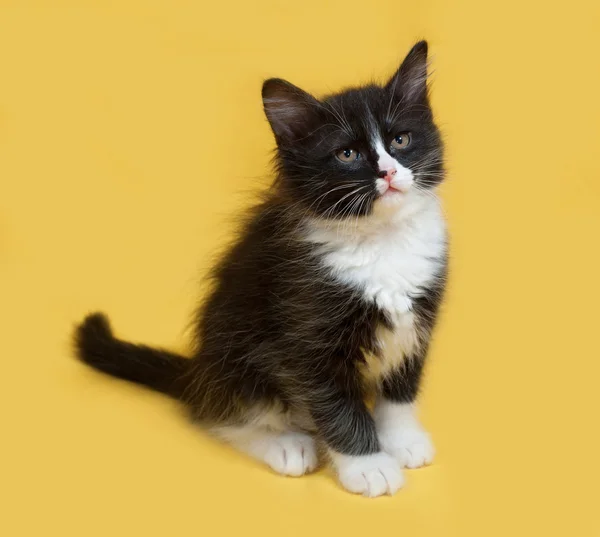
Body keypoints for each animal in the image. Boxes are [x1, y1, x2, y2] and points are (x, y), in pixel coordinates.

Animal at [75, 40, 448, 498]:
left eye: (400, 139)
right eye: (347, 154)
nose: (390, 172)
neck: (383, 241)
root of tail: (197, 371)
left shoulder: (418, 318)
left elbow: (400, 388)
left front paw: (401, 440)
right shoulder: (307, 334)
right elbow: (339, 408)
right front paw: (369, 465)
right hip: (238, 357)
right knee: (218, 415)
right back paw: (286, 444)